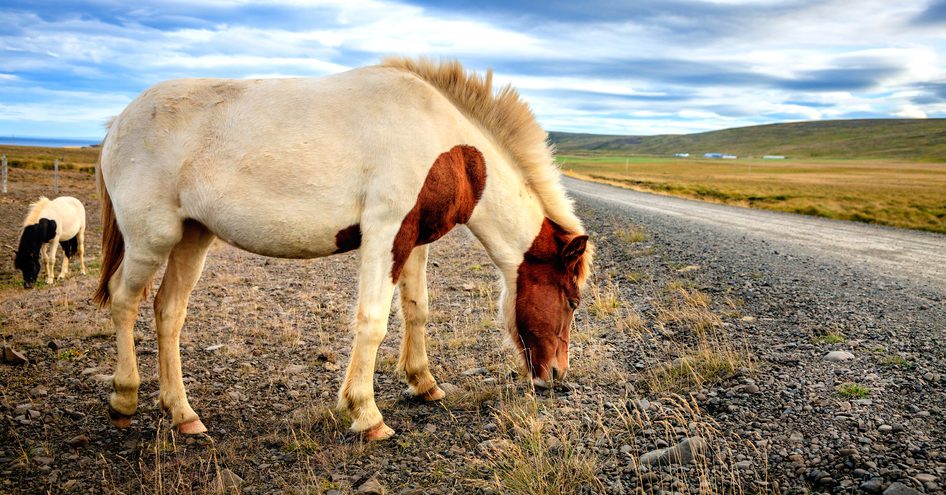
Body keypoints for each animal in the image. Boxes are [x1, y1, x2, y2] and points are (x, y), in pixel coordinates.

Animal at [90, 58, 592, 442]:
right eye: (571, 301)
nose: (556, 376)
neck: (444, 142)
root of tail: (119, 122)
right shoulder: (385, 234)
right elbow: (372, 322)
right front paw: (366, 415)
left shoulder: (412, 240)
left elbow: (417, 309)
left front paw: (423, 383)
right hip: (151, 239)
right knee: (123, 300)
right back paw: (123, 400)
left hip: (193, 237)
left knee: (168, 311)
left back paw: (184, 416)